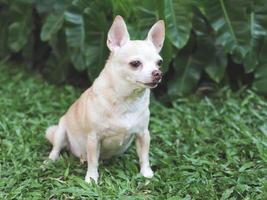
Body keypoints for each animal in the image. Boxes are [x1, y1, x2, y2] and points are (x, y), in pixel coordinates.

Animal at [45, 15, 164, 183]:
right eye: (135, 63)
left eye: (159, 63)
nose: (158, 73)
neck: (127, 99)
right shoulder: (93, 138)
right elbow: (93, 161)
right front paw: (91, 179)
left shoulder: (143, 134)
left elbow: (144, 156)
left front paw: (146, 173)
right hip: (60, 130)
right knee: (56, 148)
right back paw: (50, 161)